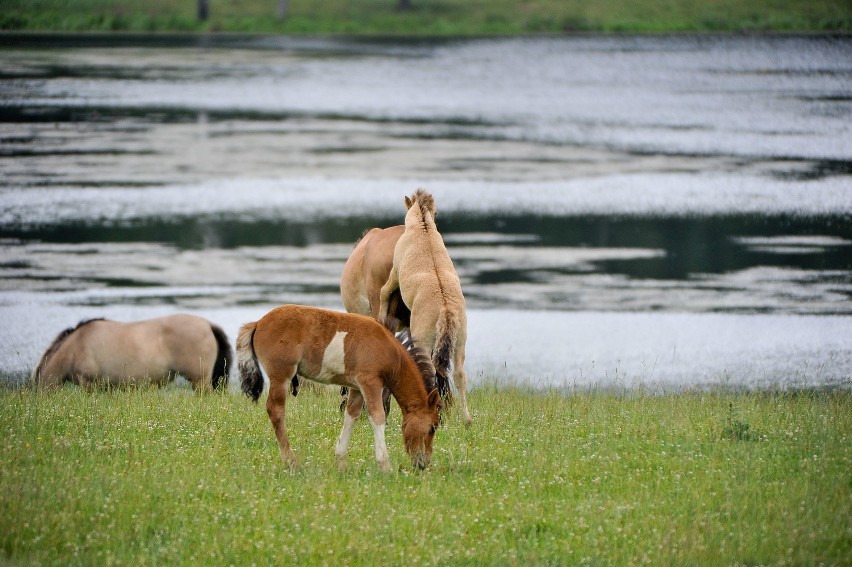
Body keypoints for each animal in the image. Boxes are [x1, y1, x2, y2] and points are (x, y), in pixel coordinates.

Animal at [236, 304, 442, 472]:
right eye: (432, 427)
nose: (424, 463)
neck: (388, 350)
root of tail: (259, 323)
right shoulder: (370, 382)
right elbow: (377, 417)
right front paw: (385, 466)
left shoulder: (357, 388)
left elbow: (351, 416)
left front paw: (341, 462)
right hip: (281, 376)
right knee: (276, 411)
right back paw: (291, 462)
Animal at [380, 189, 472, 424]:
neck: (423, 229)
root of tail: (446, 310)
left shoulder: (395, 272)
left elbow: (385, 291)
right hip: (460, 343)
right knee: (459, 374)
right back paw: (467, 419)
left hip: (423, 340)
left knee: (429, 371)